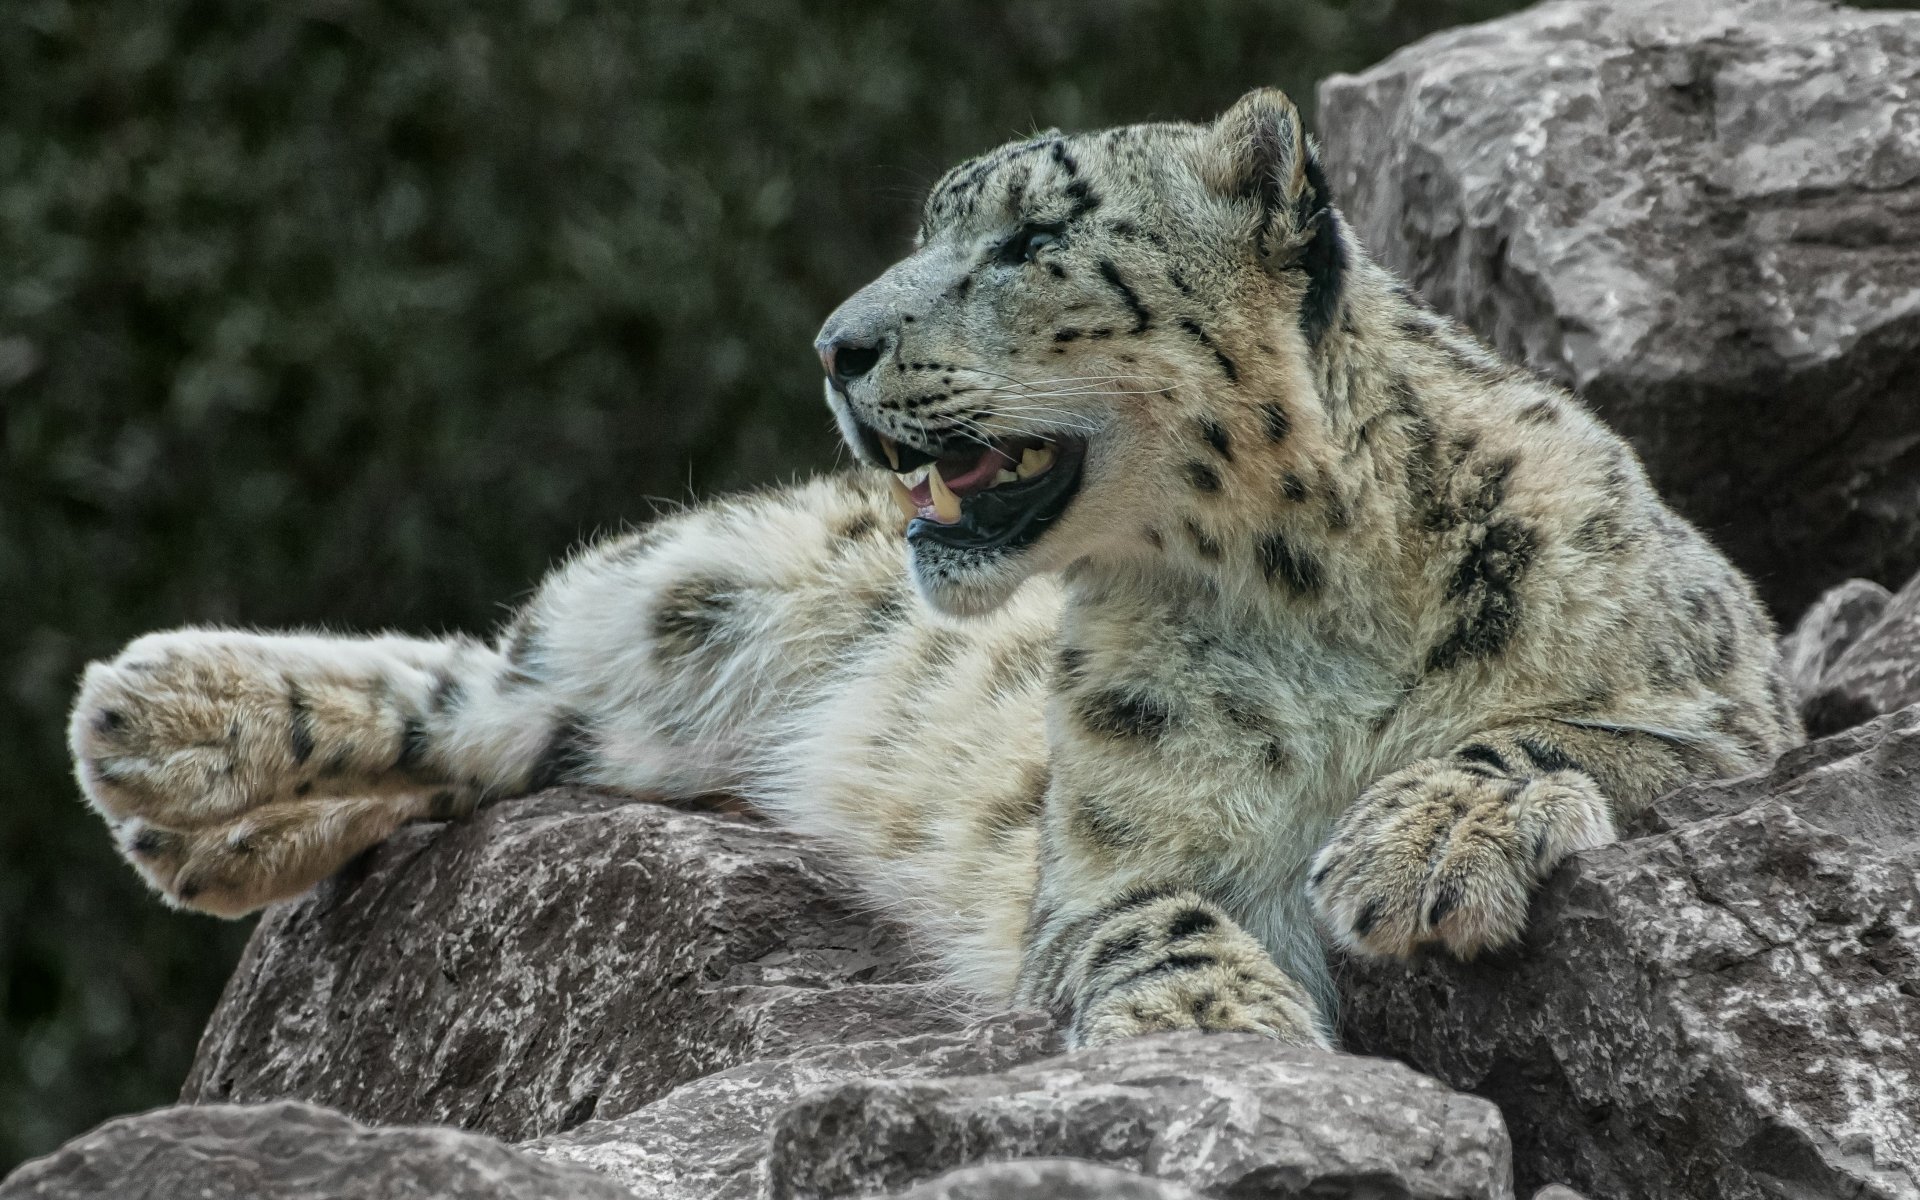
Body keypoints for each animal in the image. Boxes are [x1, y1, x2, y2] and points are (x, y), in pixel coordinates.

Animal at [68, 88, 1800, 1050]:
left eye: (1030, 242)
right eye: (931, 229)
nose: (836, 346)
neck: (1305, 602)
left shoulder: (1732, 697)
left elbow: (1570, 734)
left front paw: (1416, 848)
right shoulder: (1109, 852)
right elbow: (1149, 919)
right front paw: (1217, 1021)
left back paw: (179, 786)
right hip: (689, 596)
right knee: (502, 675)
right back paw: (160, 730)